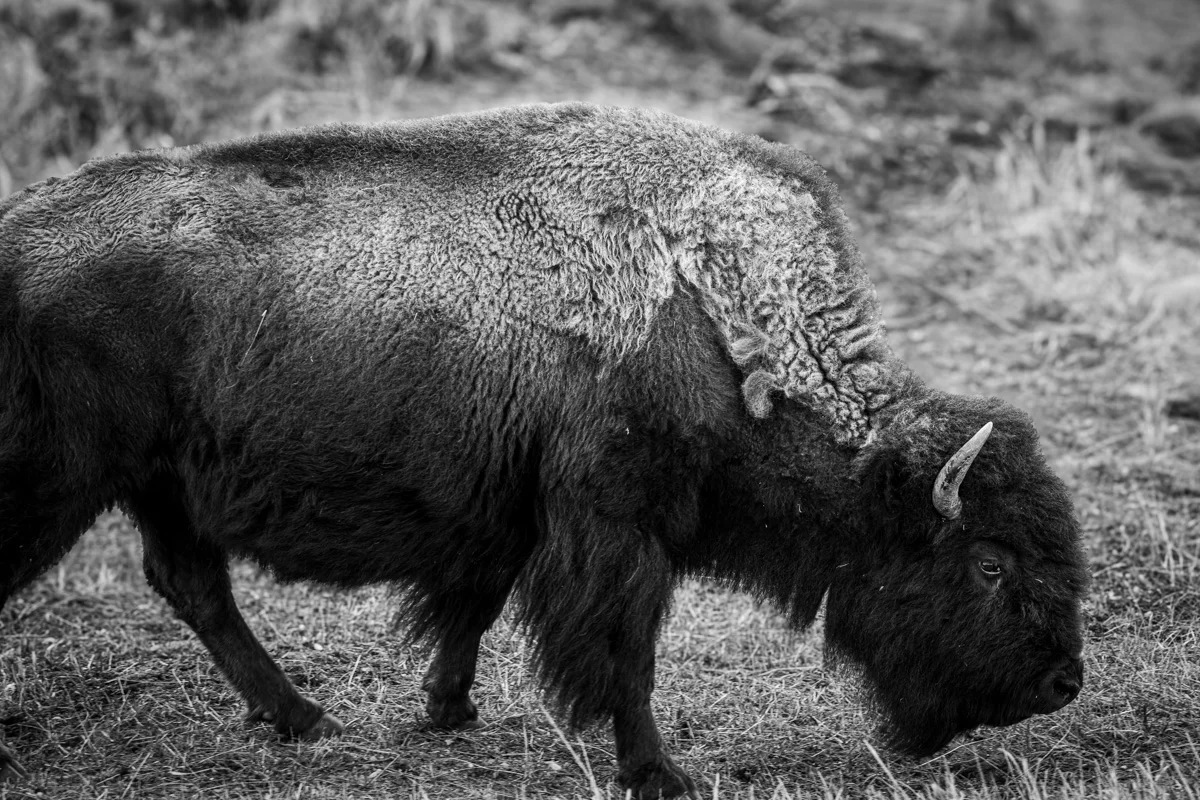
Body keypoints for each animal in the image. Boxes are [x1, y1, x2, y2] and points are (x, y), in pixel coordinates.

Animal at [0, 102, 1088, 797]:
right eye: (989, 564)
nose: (1062, 683)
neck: (713, 310)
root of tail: (16, 232)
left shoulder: (510, 517)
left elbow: (473, 609)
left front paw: (447, 709)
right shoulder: (618, 527)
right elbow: (625, 654)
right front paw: (659, 774)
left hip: (157, 485)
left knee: (192, 582)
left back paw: (304, 716)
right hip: (63, 481)